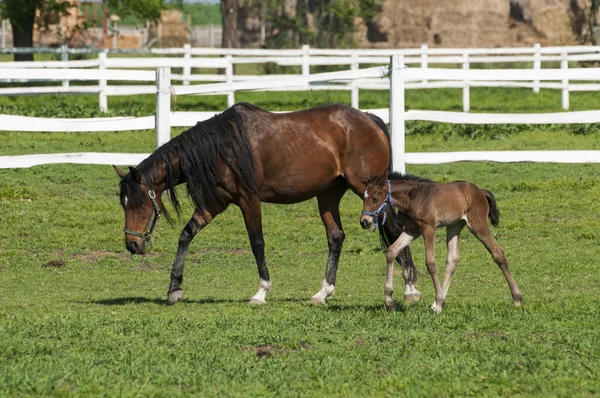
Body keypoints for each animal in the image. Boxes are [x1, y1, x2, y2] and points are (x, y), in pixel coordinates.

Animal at [358, 173, 524, 314]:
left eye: (375, 198)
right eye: (363, 198)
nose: (364, 222)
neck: (413, 198)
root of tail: (480, 192)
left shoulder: (428, 228)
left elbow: (430, 263)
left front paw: (438, 302)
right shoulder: (412, 230)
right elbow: (392, 251)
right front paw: (389, 302)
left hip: (478, 225)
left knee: (498, 252)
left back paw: (517, 299)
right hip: (454, 226)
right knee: (453, 259)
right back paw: (437, 303)